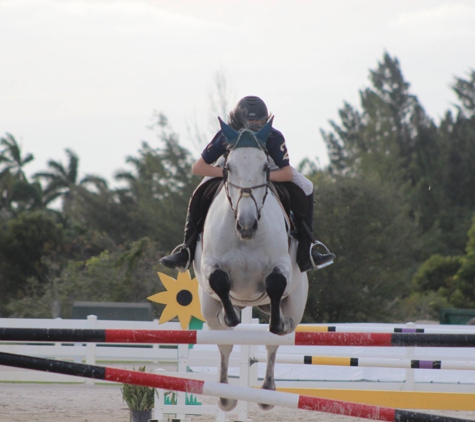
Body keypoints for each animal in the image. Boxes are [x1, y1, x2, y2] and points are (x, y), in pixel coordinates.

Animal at [194, 117, 310, 410]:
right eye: (228, 168)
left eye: (265, 168)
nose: (246, 225)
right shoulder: (210, 265)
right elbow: (220, 281)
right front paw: (230, 315)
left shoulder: (281, 266)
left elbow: (276, 285)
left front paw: (281, 322)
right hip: (207, 304)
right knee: (223, 341)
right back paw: (225, 394)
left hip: (297, 297)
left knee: (273, 341)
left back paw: (267, 391)